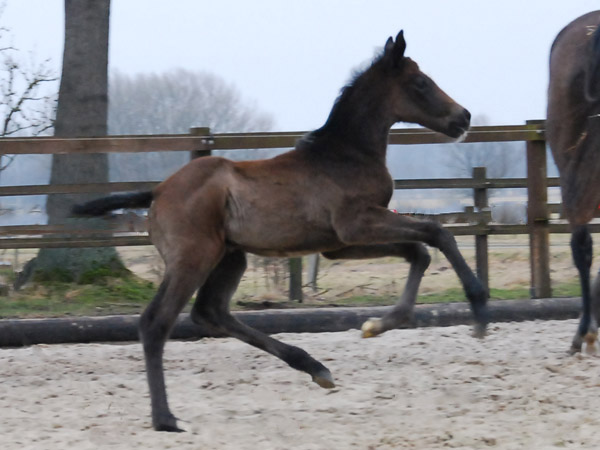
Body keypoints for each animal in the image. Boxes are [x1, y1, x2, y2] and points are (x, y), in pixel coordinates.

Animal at [75, 29, 488, 430]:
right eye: (420, 82)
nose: (464, 117)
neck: (346, 155)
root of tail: (158, 191)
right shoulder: (357, 224)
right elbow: (437, 233)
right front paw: (479, 309)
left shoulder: (341, 244)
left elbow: (419, 251)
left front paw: (377, 325)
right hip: (193, 259)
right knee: (156, 322)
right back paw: (165, 418)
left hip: (230, 257)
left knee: (210, 313)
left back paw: (314, 367)